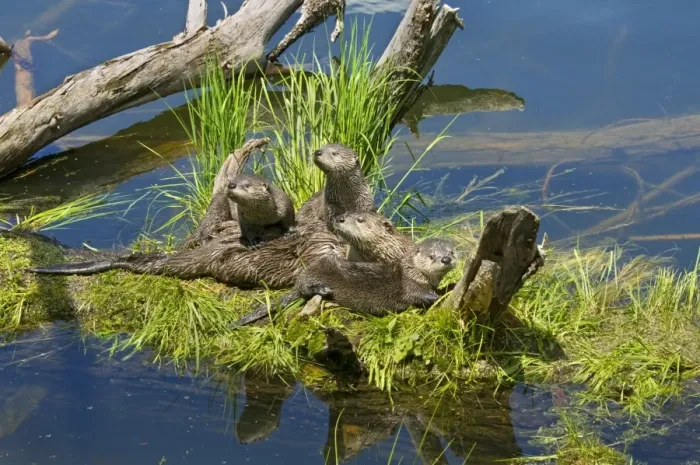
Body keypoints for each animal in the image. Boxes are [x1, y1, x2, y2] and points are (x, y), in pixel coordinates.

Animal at [234, 214, 456, 325]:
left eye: (451, 252)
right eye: (431, 256)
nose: (445, 259)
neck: (413, 273)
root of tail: (303, 275)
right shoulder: (412, 287)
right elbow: (427, 297)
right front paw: (445, 292)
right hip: (314, 275)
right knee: (305, 291)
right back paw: (322, 290)